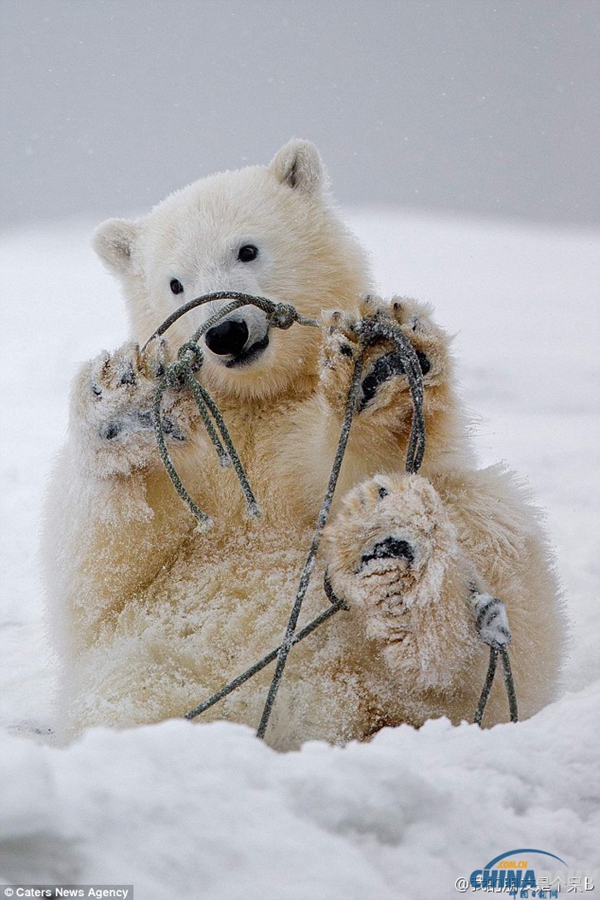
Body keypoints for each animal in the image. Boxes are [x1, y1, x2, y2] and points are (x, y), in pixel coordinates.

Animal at [42, 139, 564, 744]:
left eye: (247, 249)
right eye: (175, 283)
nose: (225, 333)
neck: (258, 396)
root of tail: (311, 714)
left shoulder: (291, 426)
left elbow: (354, 467)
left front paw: (376, 372)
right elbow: (101, 568)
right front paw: (123, 401)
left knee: (491, 536)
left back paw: (399, 569)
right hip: (147, 672)